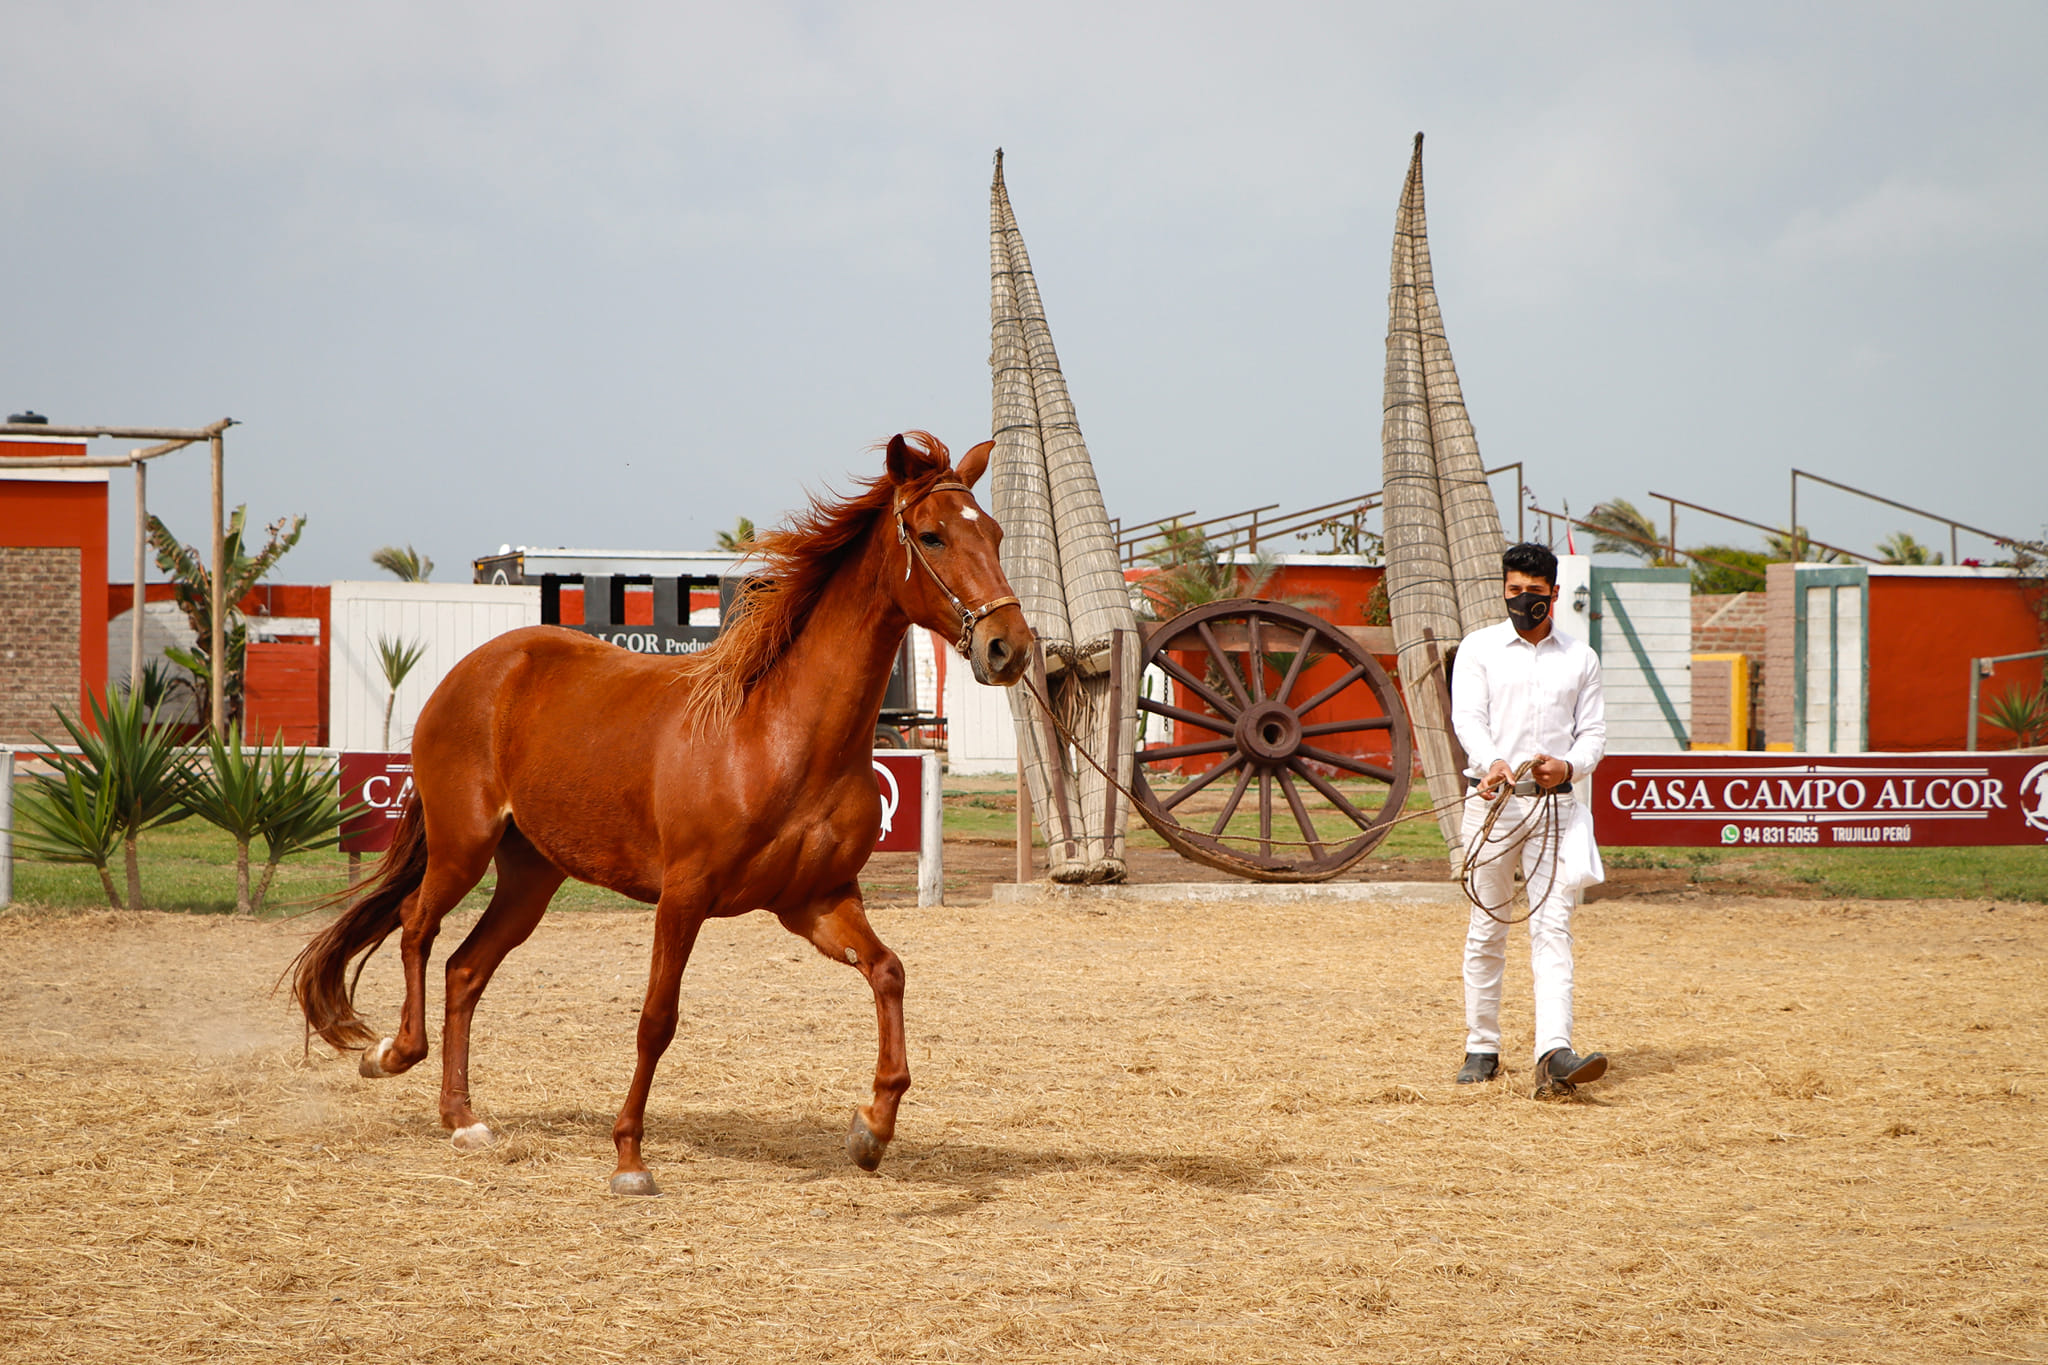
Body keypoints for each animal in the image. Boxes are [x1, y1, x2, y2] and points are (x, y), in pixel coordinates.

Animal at [292, 431, 1024, 1186]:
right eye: (932, 536)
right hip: (463, 844)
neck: (777, 734)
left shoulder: (815, 901)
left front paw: (872, 1129)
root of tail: (475, 669)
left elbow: (888, 972)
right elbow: (656, 1019)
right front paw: (629, 1157)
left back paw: (463, 1118)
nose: (1009, 646)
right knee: (416, 928)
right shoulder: (684, 896)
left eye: (995, 534)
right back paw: (390, 1054)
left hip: (532, 875)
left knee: (464, 970)